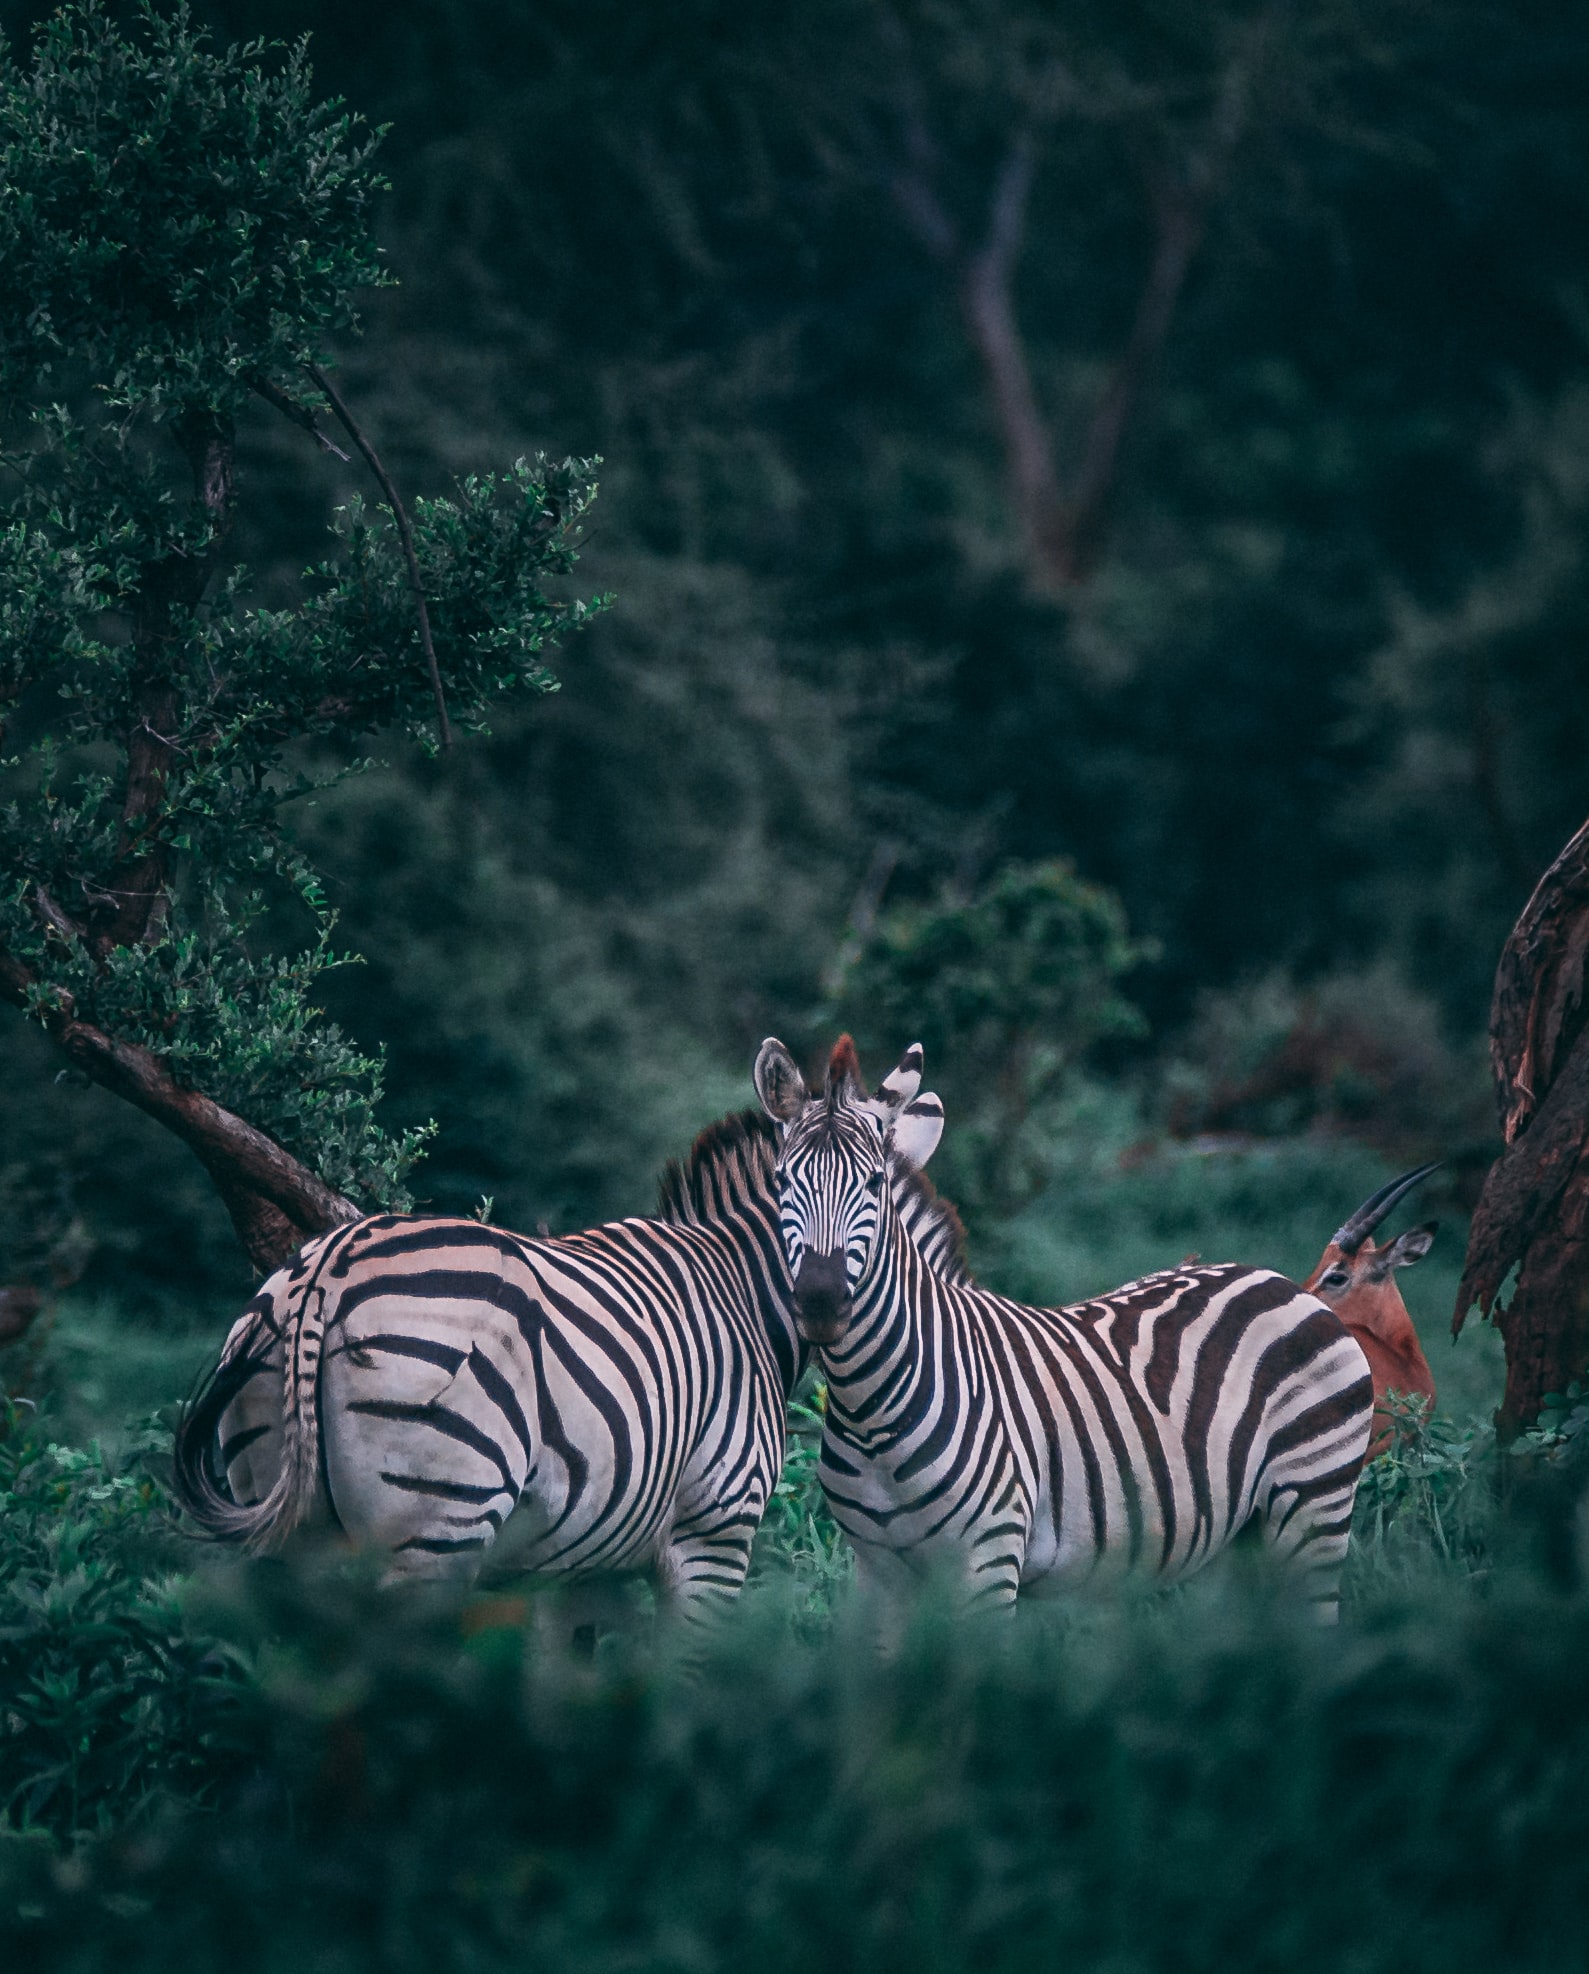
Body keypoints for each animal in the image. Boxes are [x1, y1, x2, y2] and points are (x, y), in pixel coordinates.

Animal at [174, 1105, 967, 1610]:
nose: (824, 1301)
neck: (741, 1288)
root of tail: (327, 1267)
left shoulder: (590, 1561)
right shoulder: (714, 1533)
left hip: (283, 1518)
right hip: (436, 1527)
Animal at [750, 1034, 1373, 1618]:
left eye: (875, 1185)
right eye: (780, 1182)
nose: (821, 1302)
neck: (873, 1410)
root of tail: (1280, 1281)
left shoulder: (990, 1558)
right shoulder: (878, 1572)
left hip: (1314, 1507)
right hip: (1233, 1541)